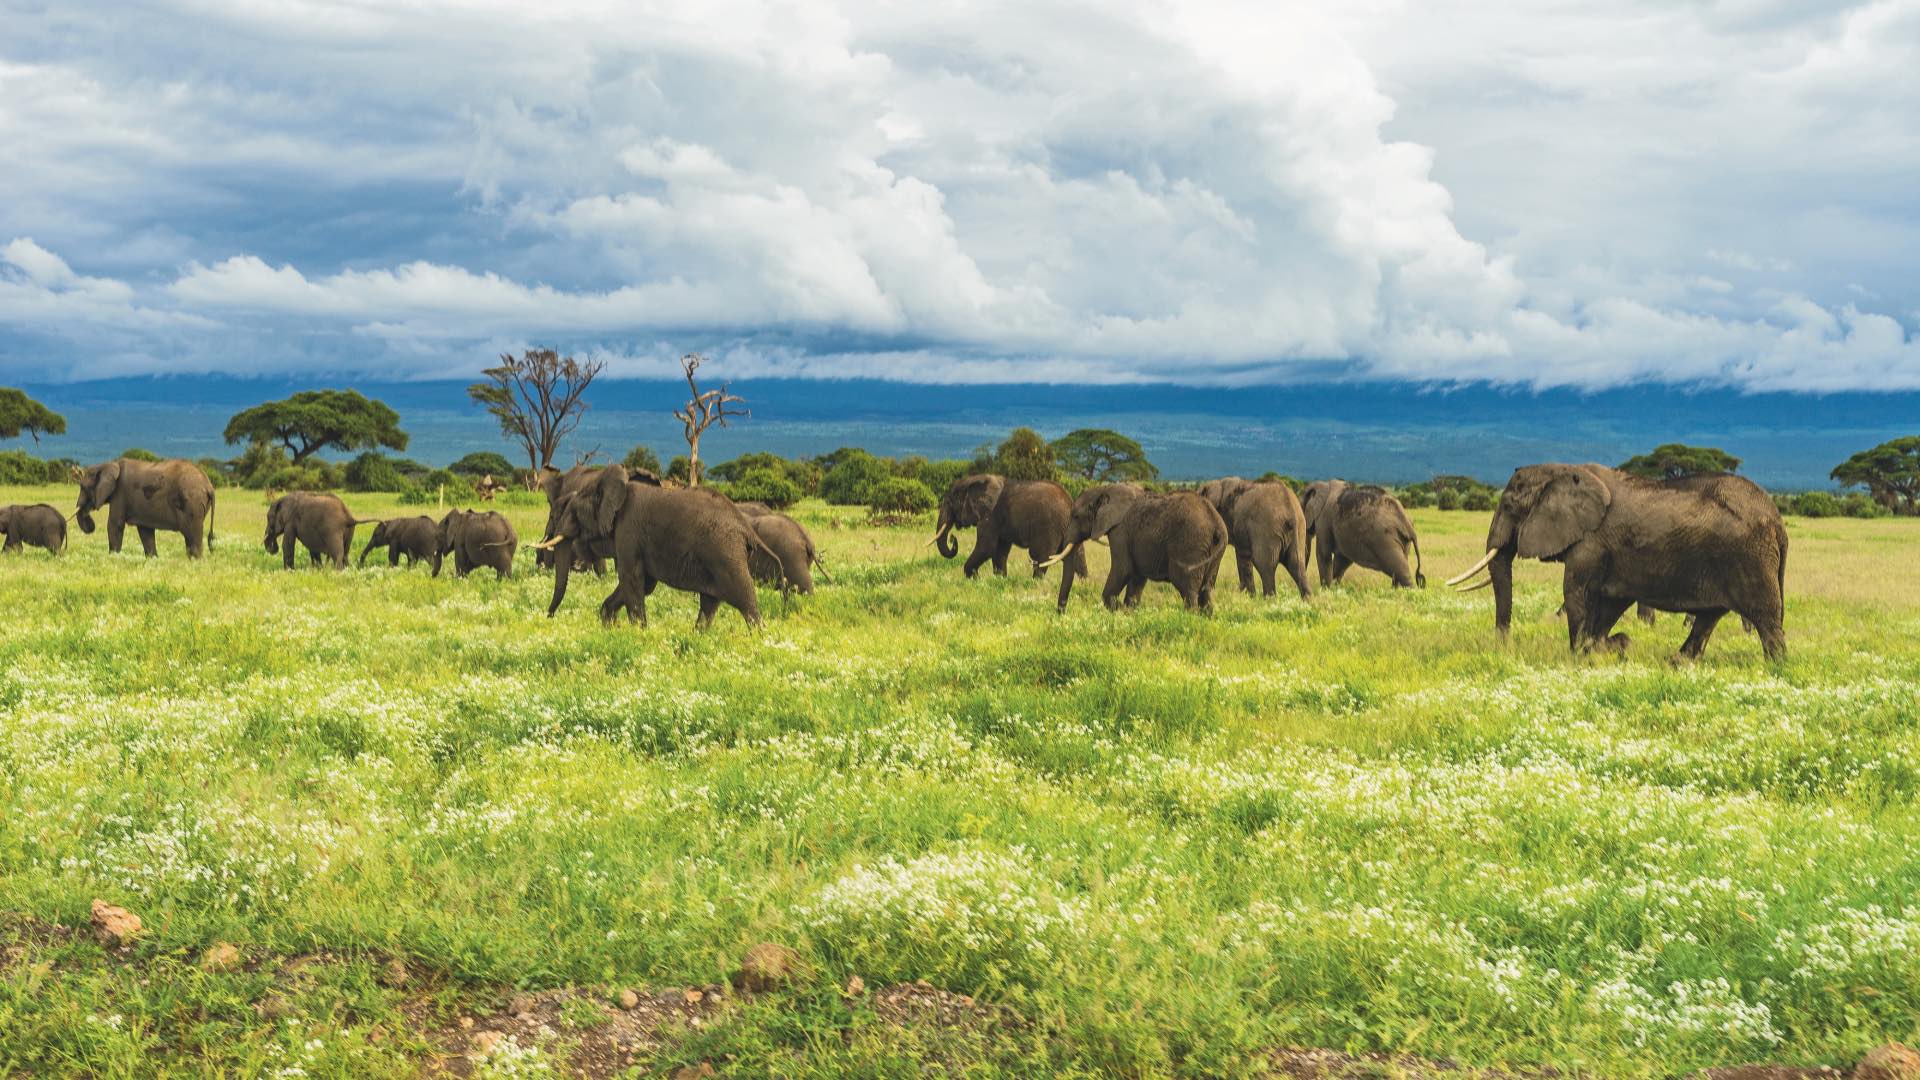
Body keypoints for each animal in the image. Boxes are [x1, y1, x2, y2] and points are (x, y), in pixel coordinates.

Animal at [74, 453, 216, 553]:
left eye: (83, 487)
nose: (91, 526)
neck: (108, 465)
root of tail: (209, 486)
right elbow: (145, 531)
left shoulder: (120, 494)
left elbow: (115, 525)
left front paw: (113, 557)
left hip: (192, 502)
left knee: (192, 536)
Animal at [533, 465, 771, 630]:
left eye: (572, 513)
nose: (549, 617)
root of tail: (746, 529)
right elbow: (643, 584)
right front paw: (611, 626)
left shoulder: (628, 529)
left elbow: (632, 580)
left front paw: (638, 633)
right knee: (709, 604)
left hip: (727, 555)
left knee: (746, 602)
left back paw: (759, 639)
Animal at [933, 466, 1090, 576]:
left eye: (951, 502)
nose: (953, 538)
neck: (975, 479)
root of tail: (1069, 502)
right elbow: (999, 550)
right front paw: (999, 579)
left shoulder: (990, 516)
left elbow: (987, 547)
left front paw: (974, 578)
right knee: (1078, 557)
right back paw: (1084, 583)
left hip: (1049, 527)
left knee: (1041, 556)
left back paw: (1034, 583)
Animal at [1443, 461, 1789, 661]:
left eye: (1508, 505)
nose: (1503, 648)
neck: (1560, 470)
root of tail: (1778, 520)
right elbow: (1610, 601)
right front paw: (1612, 646)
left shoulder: (1592, 542)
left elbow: (1577, 593)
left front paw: (1580, 657)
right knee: (1710, 617)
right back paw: (1677, 663)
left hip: (1749, 557)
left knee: (1766, 618)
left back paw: (1776, 667)